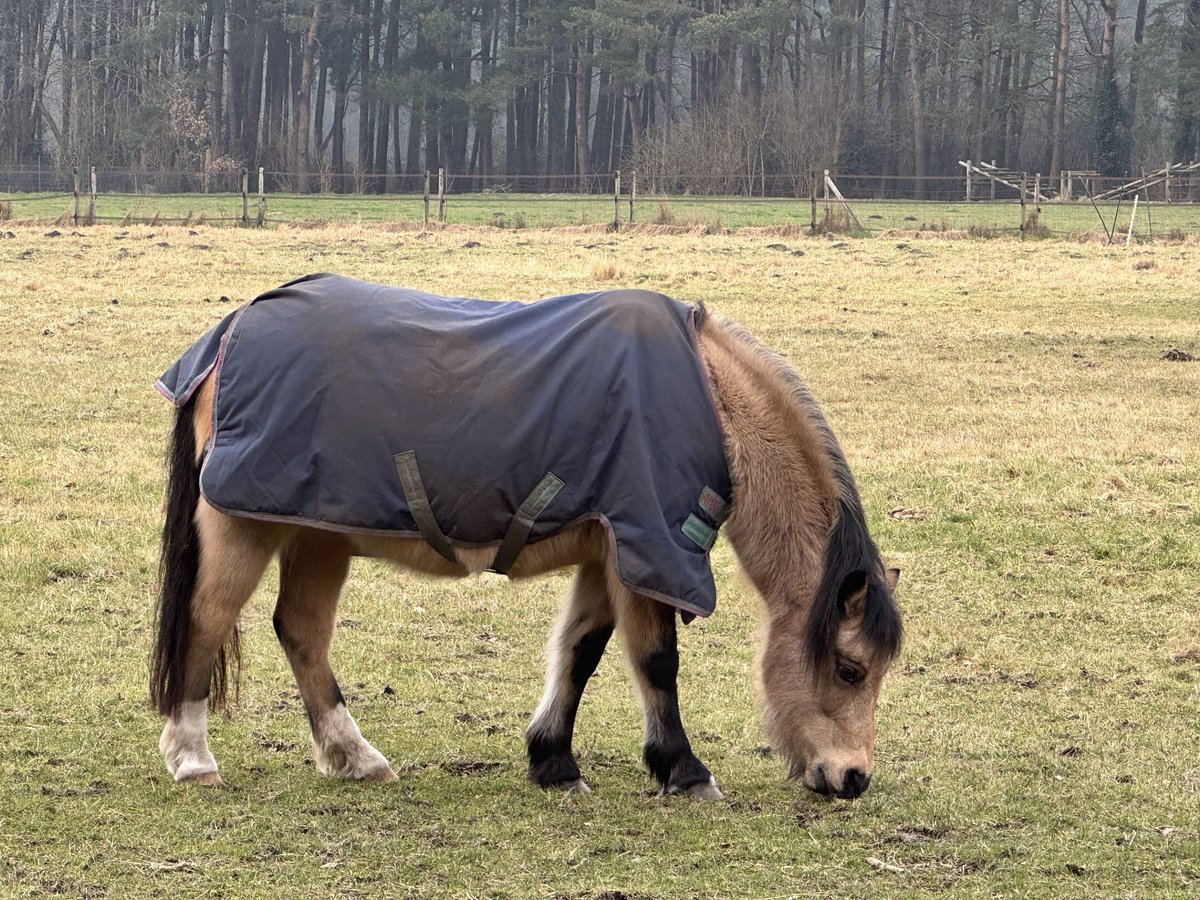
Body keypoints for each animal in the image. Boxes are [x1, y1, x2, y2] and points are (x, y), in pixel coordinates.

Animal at [150, 277, 902, 801]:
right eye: (850, 668)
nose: (853, 778)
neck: (712, 406)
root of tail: (232, 331)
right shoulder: (648, 553)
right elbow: (656, 662)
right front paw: (684, 771)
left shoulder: (611, 554)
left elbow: (580, 652)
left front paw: (554, 761)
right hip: (244, 527)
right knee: (208, 617)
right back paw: (193, 758)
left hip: (319, 534)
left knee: (302, 632)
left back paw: (353, 757)